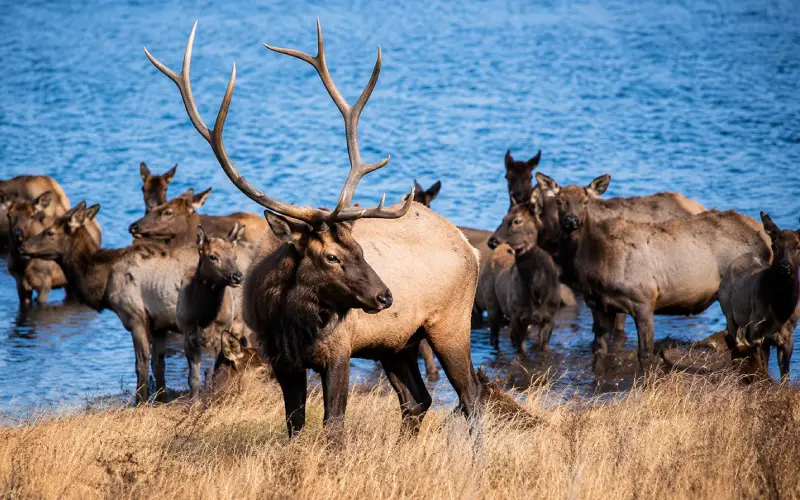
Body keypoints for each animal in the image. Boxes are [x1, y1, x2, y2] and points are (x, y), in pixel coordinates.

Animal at [18, 202, 208, 403]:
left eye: (50, 232)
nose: (22, 246)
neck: (104, 281)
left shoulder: (135, 317)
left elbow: (141, 363)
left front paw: (138, 402)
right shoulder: (159, 324)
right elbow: (159, 365)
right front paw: (160, 400)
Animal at [177, 224, 250, 399]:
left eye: (234, 256)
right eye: (212, 256)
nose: (237, 277)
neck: (205, 318)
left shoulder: (219, 336)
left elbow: (213, 373)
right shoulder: (187, 335)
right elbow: (194, 379)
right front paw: (193, 403)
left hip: (239, 321)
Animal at [534, 174, 771, 373]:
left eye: (585, 201)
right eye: (559, 201)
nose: (571, 220)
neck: (596, 263)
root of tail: (765, 237)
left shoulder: (645, 299)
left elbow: (645, 355)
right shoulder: (599, 305)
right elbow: (599, 352)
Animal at [718, 212, 800, 381]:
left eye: (798, 246)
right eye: (774, 246)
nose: (785, 266)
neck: (780, 311)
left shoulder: (788, 335)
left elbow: (785, 374)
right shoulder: (758, 331)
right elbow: (763, 365)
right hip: (728, 312)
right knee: (732, 340)